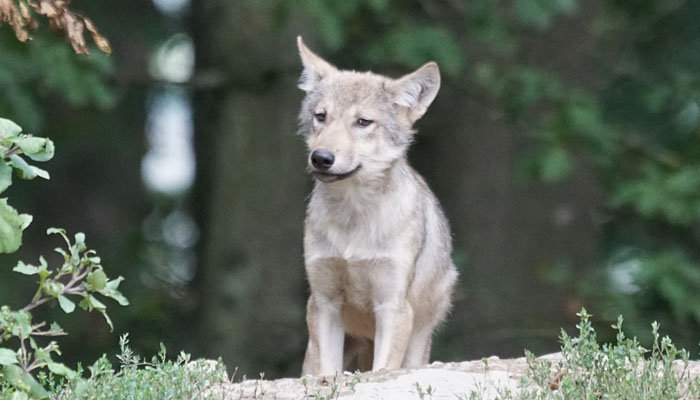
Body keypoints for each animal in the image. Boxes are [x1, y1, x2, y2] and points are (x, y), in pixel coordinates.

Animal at [296, 36, 456, 376]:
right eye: (321, 116)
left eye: (363, 122)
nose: (321, 158)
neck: (353, 220)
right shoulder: (323, 302)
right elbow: (328, 372)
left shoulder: (393, 306)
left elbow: (383, 369)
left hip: (416, 342)